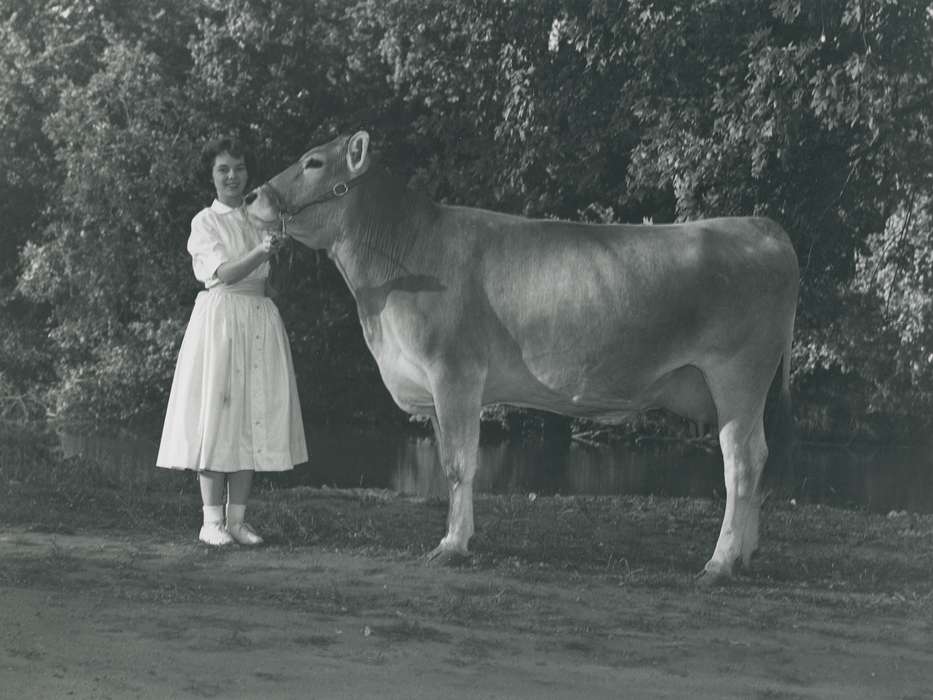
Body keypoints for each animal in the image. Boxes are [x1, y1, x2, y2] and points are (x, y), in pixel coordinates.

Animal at [245, 130, 799, 585]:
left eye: (314, 162)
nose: (253, 196)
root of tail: (761, 227)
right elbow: (449, 461)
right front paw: (459, 537)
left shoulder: (455, 372)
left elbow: (459, 465)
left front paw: (452, 546)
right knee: (760, 457)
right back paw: (745, 554)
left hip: (737, 376)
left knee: (741, 463)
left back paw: (720, 563)